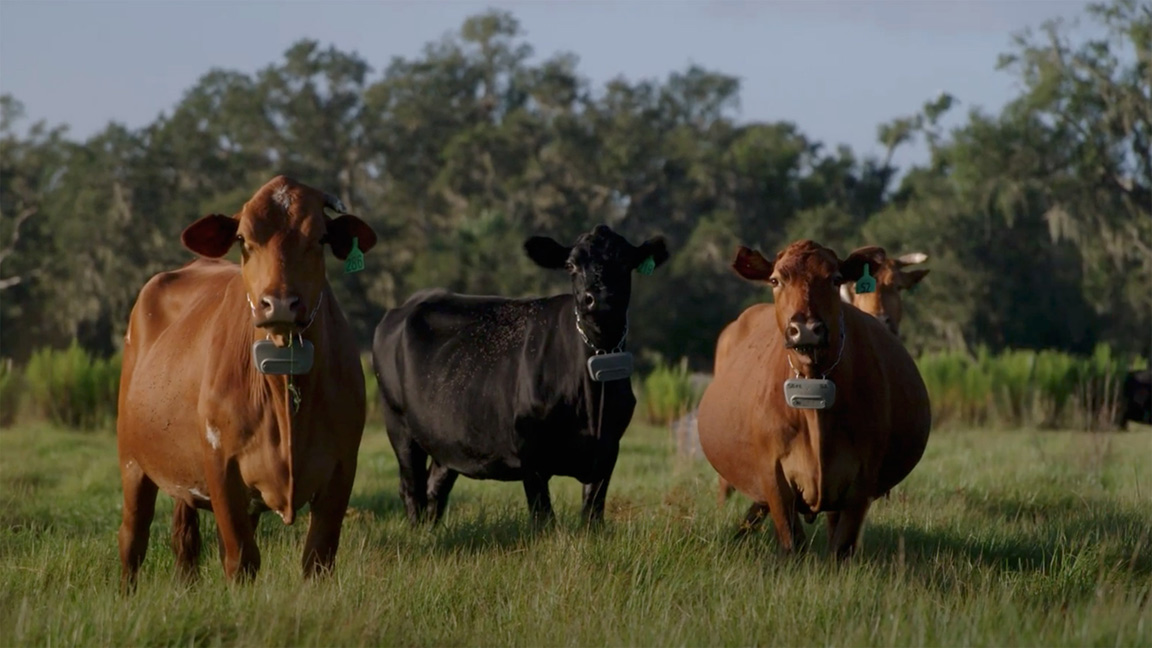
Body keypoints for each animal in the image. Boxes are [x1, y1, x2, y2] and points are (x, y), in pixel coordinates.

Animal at [113, 172, 373, 585]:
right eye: (244, 240)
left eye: (320, 238)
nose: (279, 303)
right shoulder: (221, 466)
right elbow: (241, 559)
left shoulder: (342, 467)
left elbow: (317, 558)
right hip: (132, 461)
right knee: (133, 538)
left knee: (185, 539)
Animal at [373, 224, 672, 521]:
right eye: (570, 265)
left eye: (624, 260)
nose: (598, 299)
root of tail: (405, 306)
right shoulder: (530, 451)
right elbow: (543, 518)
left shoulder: (608, 449)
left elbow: (592, 514)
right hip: (398, 424)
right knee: (412, 488)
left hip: (445, 436)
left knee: (435, 488)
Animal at [695, 239, 930, 558]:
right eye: (775, 280)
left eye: (835, 279)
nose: (805, 329)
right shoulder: (773, 476)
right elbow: (791, 542)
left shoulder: (861, 480)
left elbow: (840, 546)